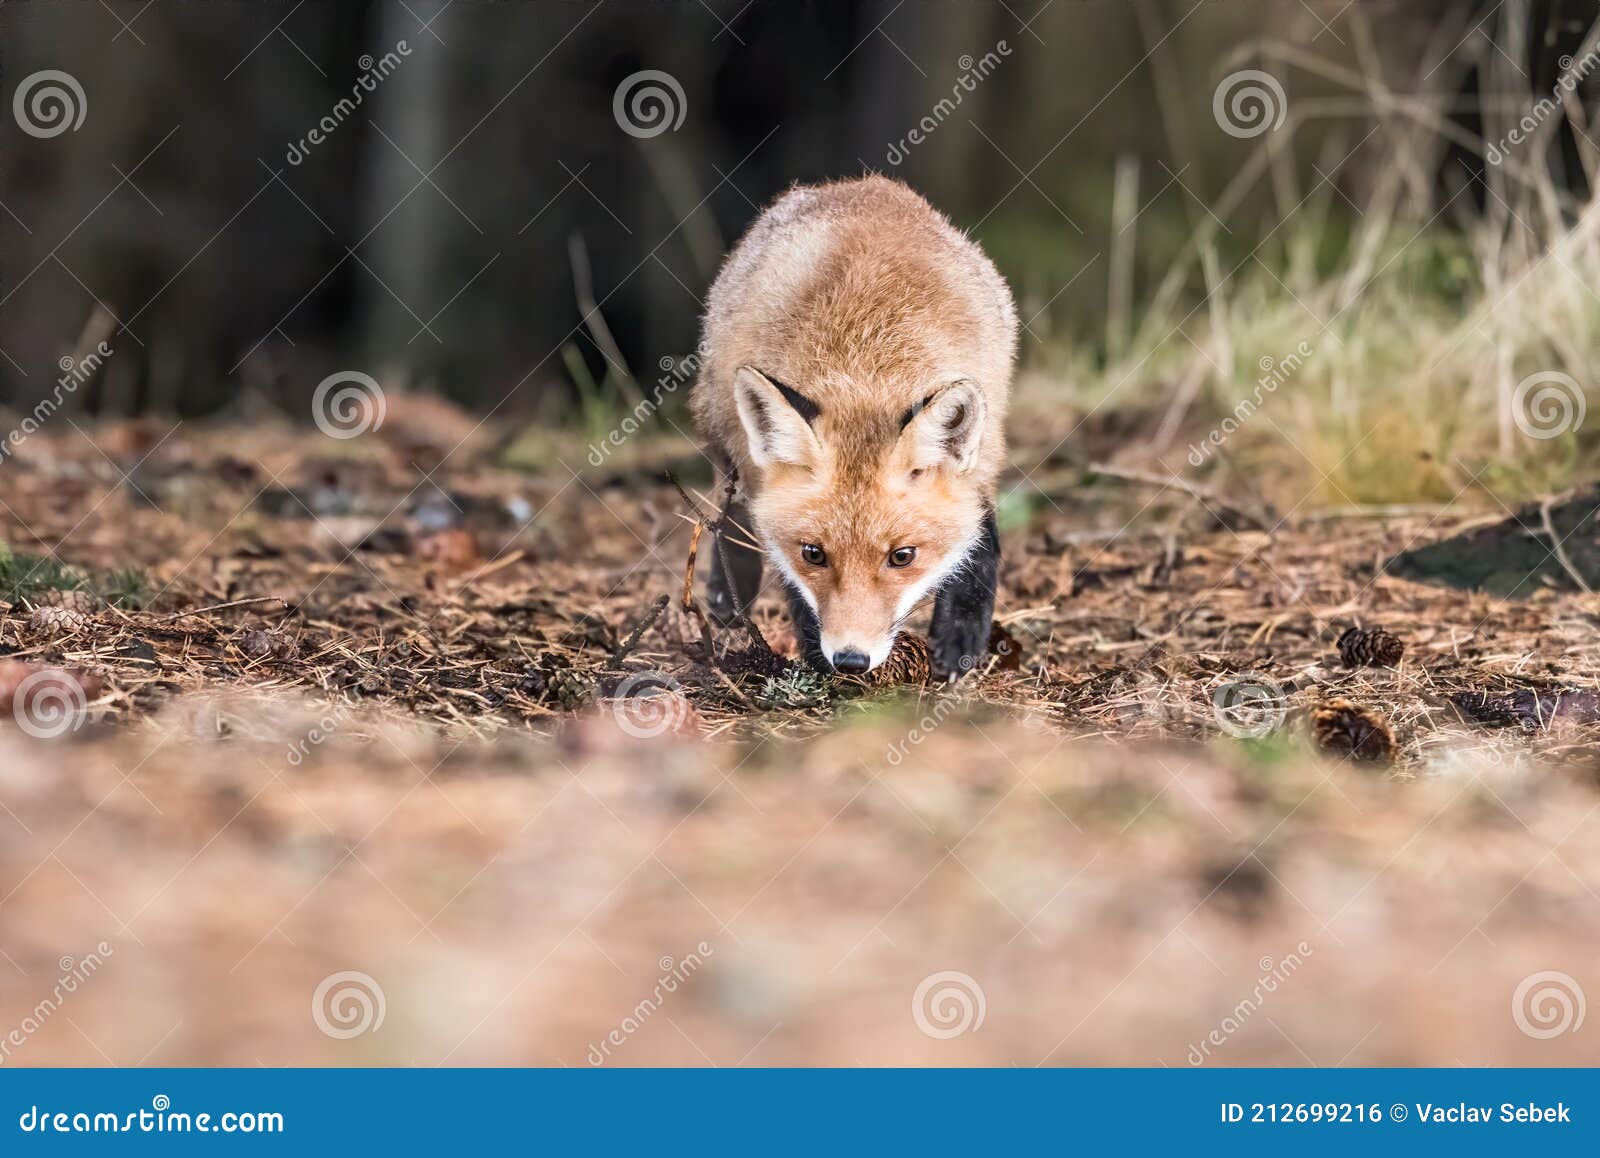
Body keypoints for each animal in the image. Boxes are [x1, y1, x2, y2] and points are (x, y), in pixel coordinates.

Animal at [694, 175, 1017, 674]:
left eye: (902, 557)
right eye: (813, 554)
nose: (849, 659)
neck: (865, 368)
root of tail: (857, 183)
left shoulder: (985, 446)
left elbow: (981, 535)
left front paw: (961, 636)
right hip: (726, 428)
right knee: (732, 516)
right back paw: (727, 602)